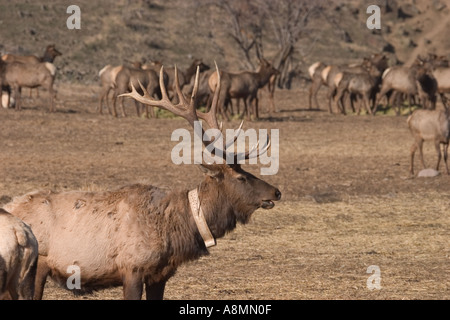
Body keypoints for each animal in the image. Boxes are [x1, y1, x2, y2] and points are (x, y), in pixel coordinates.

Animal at [5, 65, 282, 300]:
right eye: (241, 177)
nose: (276, 192)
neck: (178, 229)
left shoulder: (160, 275)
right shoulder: (133, 269)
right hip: (35, 269)